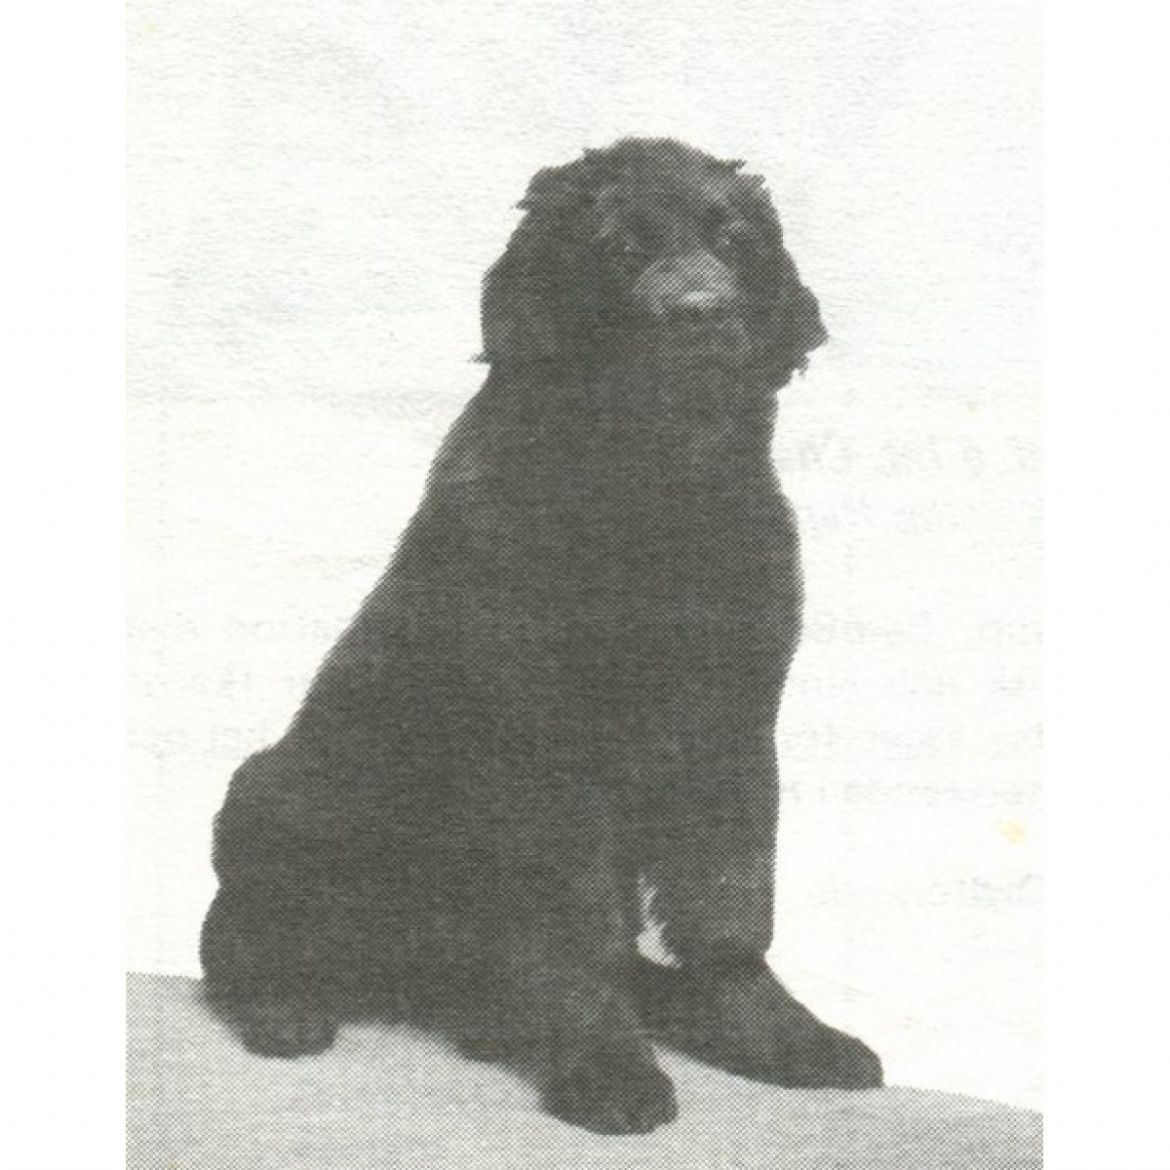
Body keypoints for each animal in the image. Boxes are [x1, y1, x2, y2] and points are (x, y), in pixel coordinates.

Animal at [201, 137, 882, 1134]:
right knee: (238, 935)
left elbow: (730, 899)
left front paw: (776, 1036)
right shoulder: (545, 745)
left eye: (735, 240)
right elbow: (578, 926)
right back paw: (286, 1008)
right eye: (618, 248)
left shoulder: (733, 722)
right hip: (273, 792)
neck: (651, 481)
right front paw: (609, 1068)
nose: (702, 313)